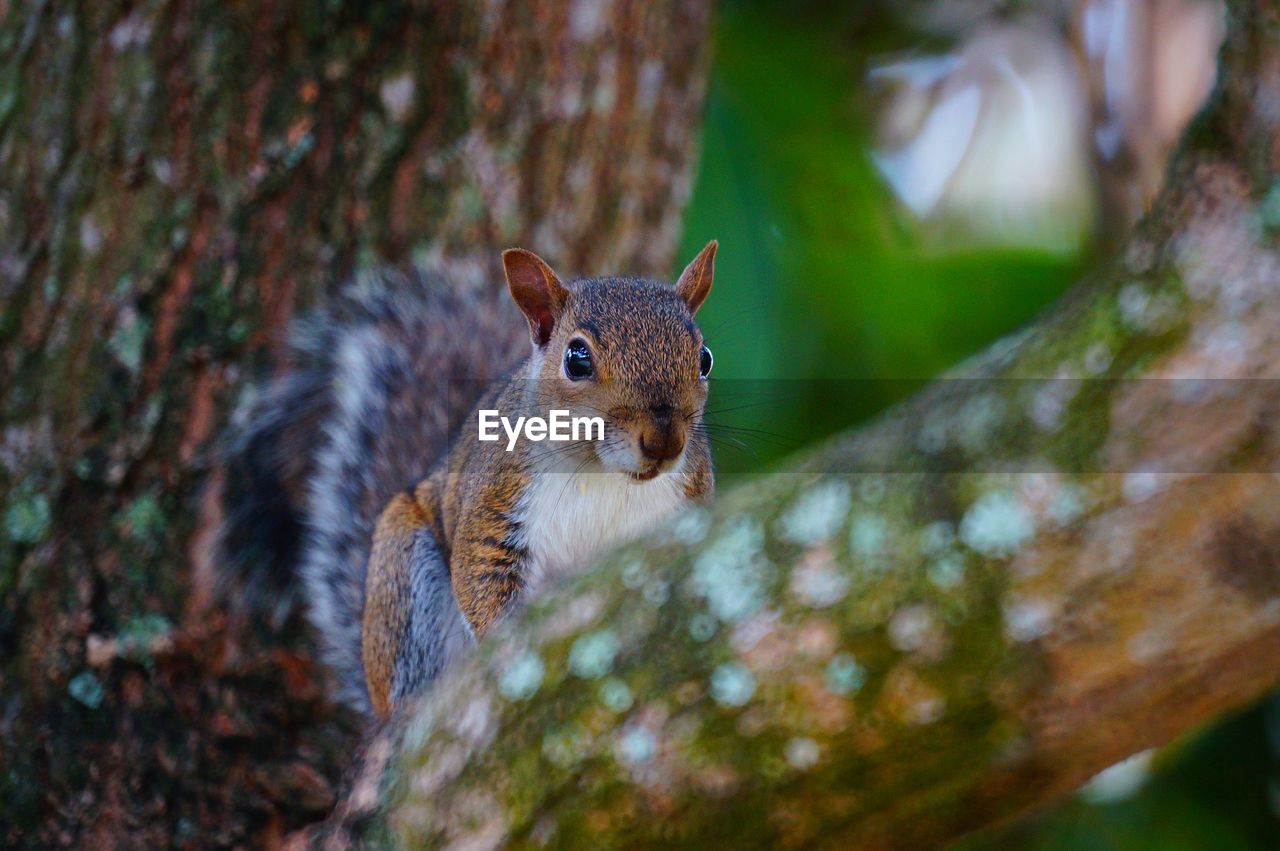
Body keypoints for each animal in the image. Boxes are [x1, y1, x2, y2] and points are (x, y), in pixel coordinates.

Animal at [220, 241, 721, 711]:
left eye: (705, 358)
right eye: (577, 360)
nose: (663, 442)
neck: (604, 474)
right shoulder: (497, 498)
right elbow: (483, 576)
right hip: (403, 568)